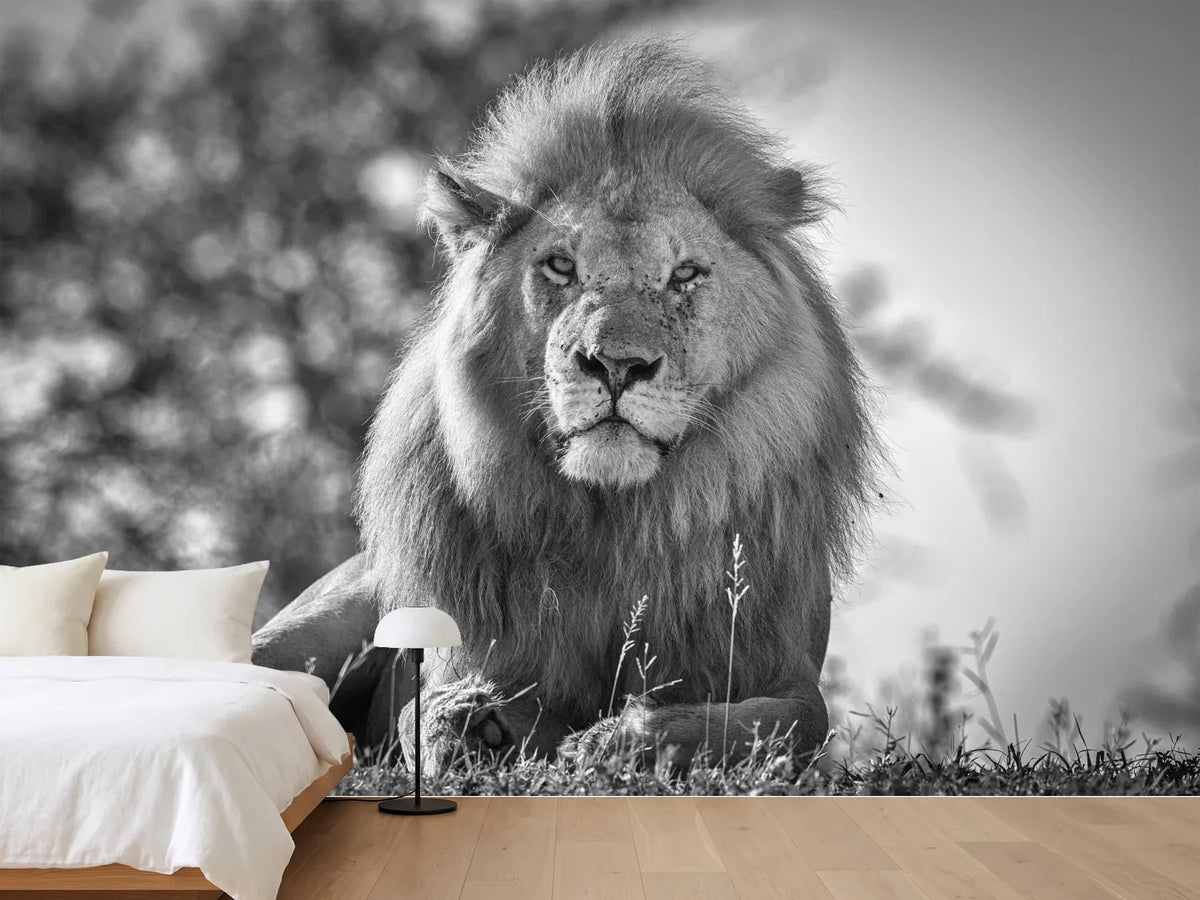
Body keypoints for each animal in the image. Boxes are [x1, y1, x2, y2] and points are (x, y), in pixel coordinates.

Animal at [252, 40, 875, 773]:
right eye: (560, 267)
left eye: (685, 274)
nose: (616, 365)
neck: (615, 526)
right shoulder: (459, 653)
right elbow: (418, 709)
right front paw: (468, 726)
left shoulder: (785, 669)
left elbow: (778, 722)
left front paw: (619, 740)